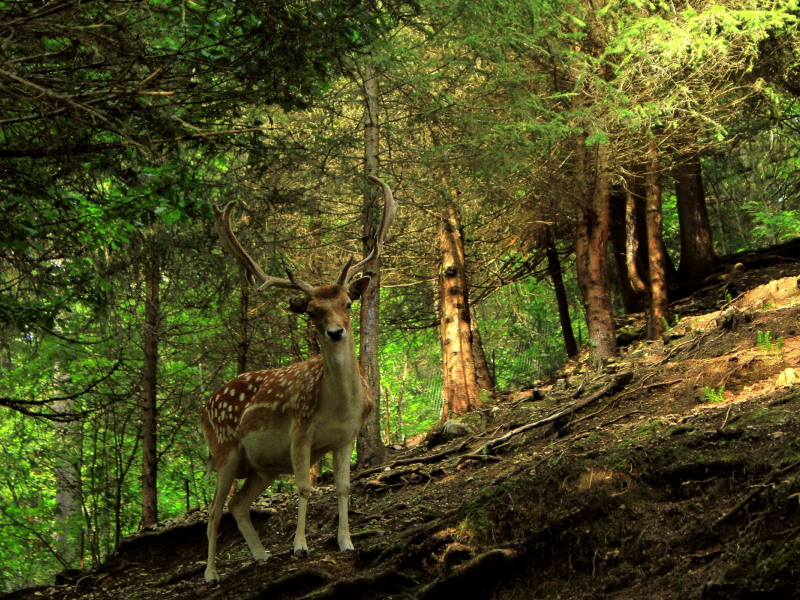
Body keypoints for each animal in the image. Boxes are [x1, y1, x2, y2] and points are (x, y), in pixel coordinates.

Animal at [202, 176, 398, 584]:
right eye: (311, 311)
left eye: (348, 303)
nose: (336, 332)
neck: (338, 407)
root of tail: (203, 407)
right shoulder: (299, 429)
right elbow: (305, 487)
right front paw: (300, 546)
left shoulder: (346, 437)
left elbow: (343, 486)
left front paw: (346, 542)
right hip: (224, 449)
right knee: (213, 510)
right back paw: (211, 573)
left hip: (261, 467)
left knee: (237, 504)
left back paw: (261, 555)